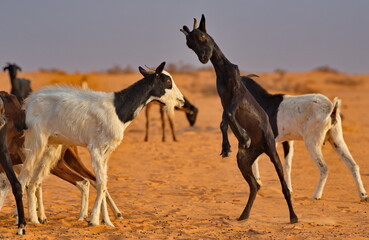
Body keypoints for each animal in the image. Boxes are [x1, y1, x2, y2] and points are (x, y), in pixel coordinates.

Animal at [17, 62, 184, 227]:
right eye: (167, 81)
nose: (181, 100)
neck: (118, 108)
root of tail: (29, 102)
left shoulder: (106, 152)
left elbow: (102, 183)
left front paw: (107, 221)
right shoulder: (96, 149)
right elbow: (101, 183)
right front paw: (94, 220)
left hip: (51, 149)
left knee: (34, 182)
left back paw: (35, 219)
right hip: (36, 143)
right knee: (24, 178)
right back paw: (28, 220)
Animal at [180, 14, 298, 223]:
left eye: (202, 36)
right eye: (189, 44)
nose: (203, 58)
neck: (224, 71)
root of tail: (260, 148)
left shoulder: (235, 96)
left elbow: (228, 115)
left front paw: (243, 137)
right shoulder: (223, 100)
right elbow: (222, 122)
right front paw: (227, 147)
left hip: (272, 150)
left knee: (284, 186)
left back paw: (293, 217)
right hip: (243, 160)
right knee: (254, 185)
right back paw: (243, 215)